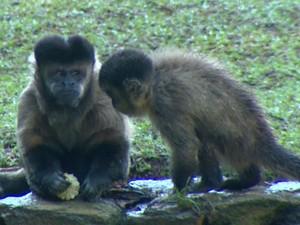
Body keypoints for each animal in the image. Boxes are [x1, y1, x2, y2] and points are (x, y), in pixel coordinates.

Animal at [13, 35, 130, 200]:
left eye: (75, 73)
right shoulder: (29, 99)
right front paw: (51, 179)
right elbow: (35, 145)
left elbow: (113, 142)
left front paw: (97, 181)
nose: (68, 83)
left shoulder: (104, 97)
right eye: (59, 73)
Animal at [99, 48, 300, 192]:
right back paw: (215, 183)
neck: (154, 83)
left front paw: (178, 190)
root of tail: (263, 138)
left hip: (240, 141)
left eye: (112, 94)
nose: (113, 104)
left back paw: (247, 180)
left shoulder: (165, 106)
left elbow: (186, 148)